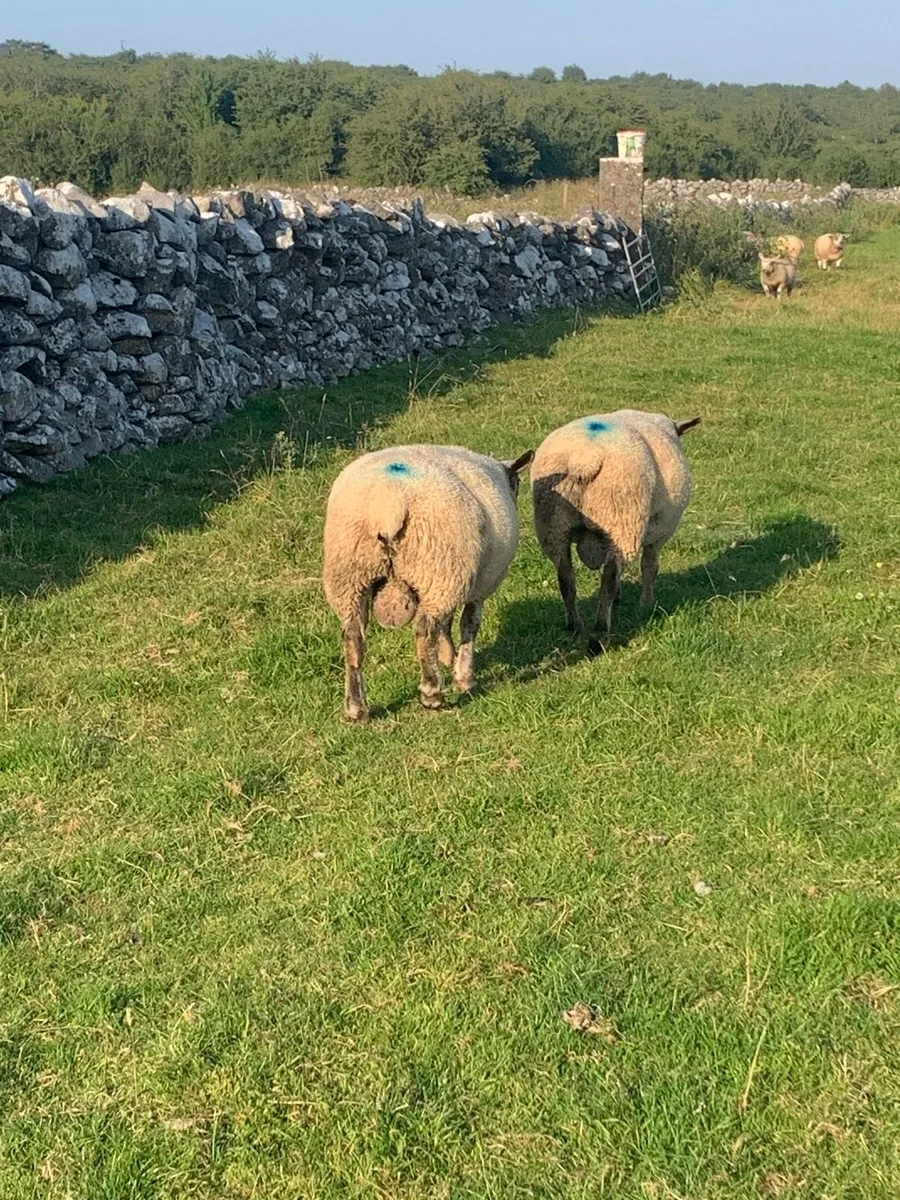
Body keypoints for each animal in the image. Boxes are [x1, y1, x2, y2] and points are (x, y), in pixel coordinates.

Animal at [323, 443, 534, 722]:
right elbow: (469, 624)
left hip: (350, 578)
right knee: (424, 631)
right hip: (438, 570)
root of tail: (387, 504)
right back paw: (432, 693)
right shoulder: (479, 585)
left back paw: (356, 708)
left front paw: (448, 658)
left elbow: (448, 625)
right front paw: (463, 676)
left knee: (353, 637)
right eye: (517, 483)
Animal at [531, 410, 700, 655]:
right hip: (621, 522)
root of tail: (584, 460)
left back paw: (575, 626)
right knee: (608, 580)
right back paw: (600, 635)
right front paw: (647, 604)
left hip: (553, 528)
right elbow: (649, 567)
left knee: (566, 578)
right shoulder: (660, 533)